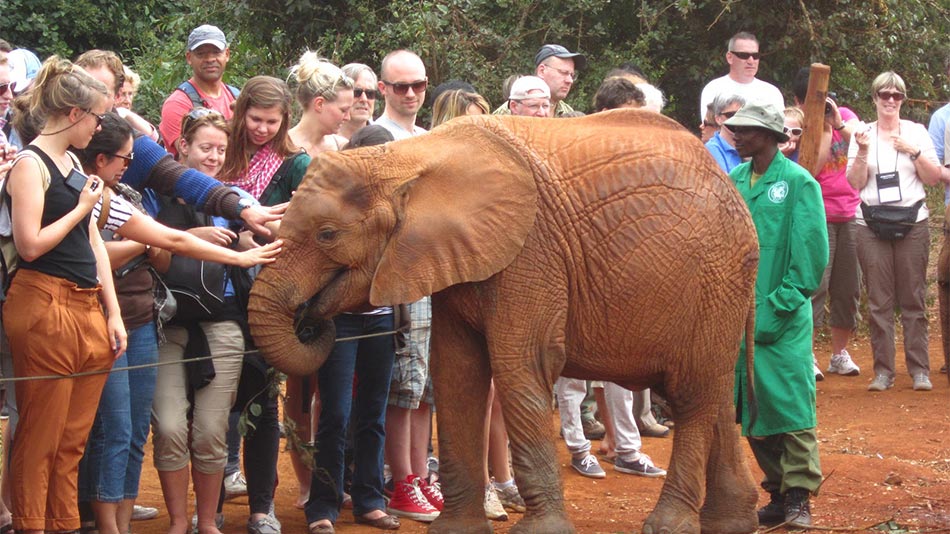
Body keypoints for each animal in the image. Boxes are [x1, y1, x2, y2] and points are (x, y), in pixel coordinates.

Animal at [249, 110, 764, 534]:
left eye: (327, 235)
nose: (309, 319)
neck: (409, 157)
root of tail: (735, 190)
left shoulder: (529, 251)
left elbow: (521, 365)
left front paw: (541, 532)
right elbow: (456, 372)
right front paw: (454, 531)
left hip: (716, 277)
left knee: (695, 393)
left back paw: (672, 525)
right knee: (712, 394)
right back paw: (733, 523)